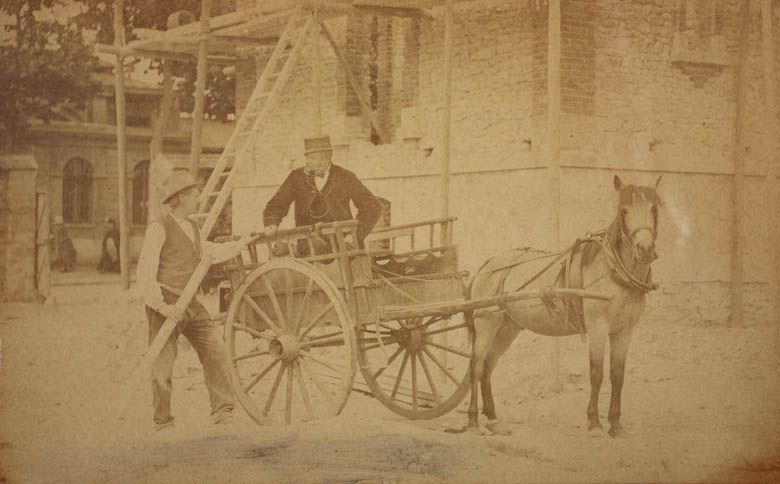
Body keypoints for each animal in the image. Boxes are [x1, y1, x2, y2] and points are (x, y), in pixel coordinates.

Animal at [466, 175, 660, 438]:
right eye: (624, 210)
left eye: (654, 209)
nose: (645, 248)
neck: (613, 272)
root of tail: (488, 264)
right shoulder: (598, 328)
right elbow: (596, 374)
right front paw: (594, 422)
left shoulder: (624, 331)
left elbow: (617, 376)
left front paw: (616, 424)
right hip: (486, 323)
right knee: (476, 367)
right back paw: (473, 420)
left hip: (508, 329)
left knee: (487, 367)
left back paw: (494, 419)